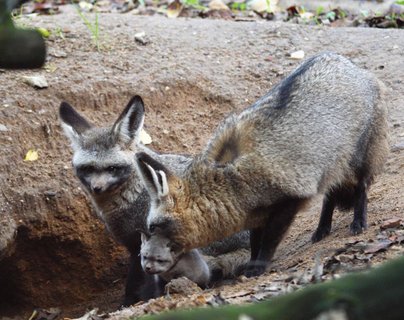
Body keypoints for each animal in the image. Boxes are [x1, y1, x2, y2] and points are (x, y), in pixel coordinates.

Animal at [135, 52, 388, 278]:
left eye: (153, 227)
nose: (145, 260)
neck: (232, 180)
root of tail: (353, 66)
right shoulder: (256, 214)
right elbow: (255, 242)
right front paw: (252, 264)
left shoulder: (288, 201)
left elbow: (269, 241)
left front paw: (258, 267)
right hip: (332, 168)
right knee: (330, 196)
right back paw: (322, 229)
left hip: (358, 160)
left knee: (361, 188)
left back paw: (358, 221)